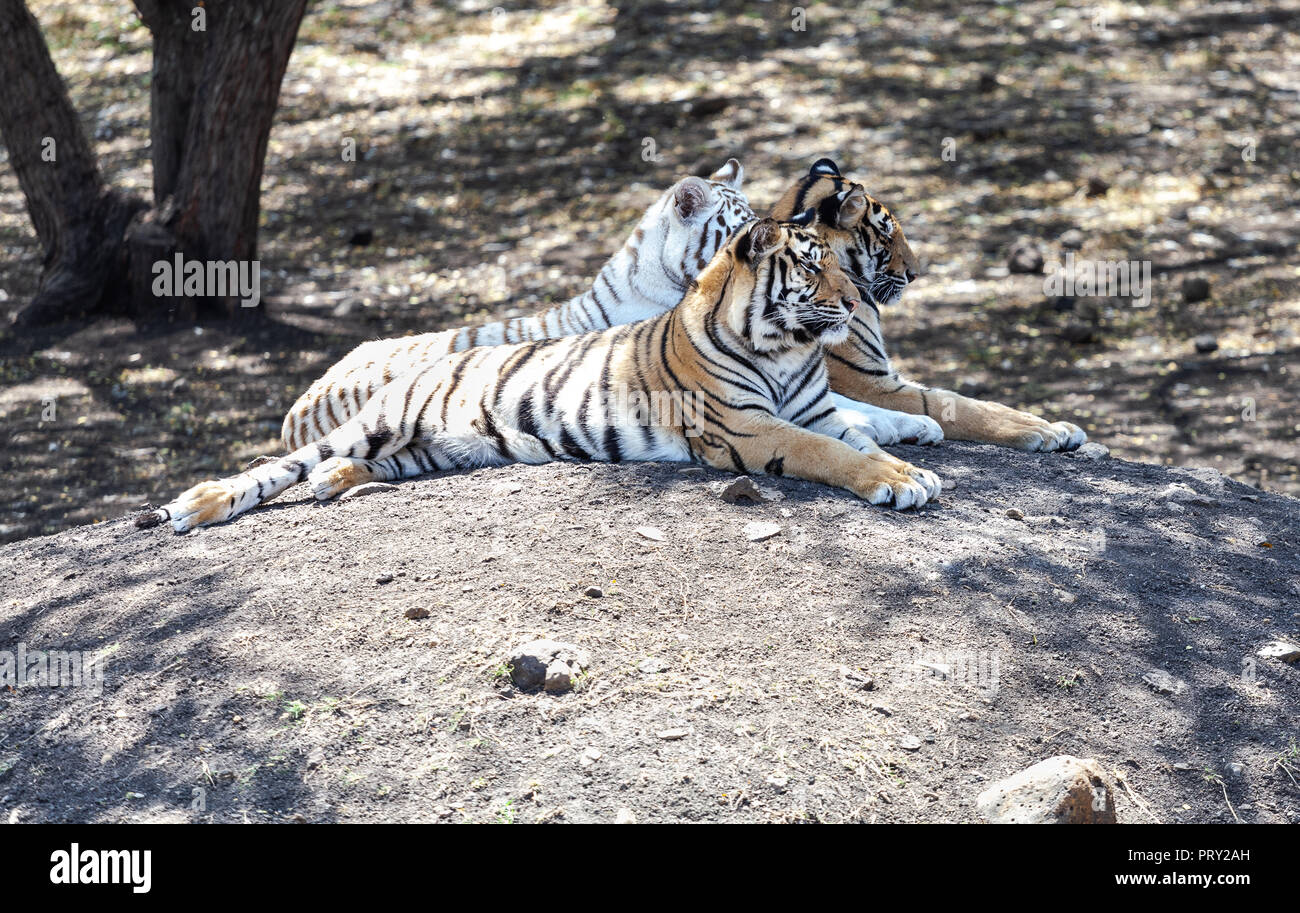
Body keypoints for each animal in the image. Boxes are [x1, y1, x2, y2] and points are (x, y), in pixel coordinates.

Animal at [147, 215, 946, 535]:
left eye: (840, 262)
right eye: (812, 266)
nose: (856, 302)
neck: (786, 346)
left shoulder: (817, 410)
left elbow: (857, 435)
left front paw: (912, 466)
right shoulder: (751, 428)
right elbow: (835, 454)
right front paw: (899, 480)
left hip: (435, 450)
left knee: (360, 466)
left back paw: (333, 482)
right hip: (377, 421)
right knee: (277, 466)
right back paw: (200, 504)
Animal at [769, 161, 1086, 457]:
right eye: (885, 234)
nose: (915, 274)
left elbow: (980, 401)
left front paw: (1055, 426)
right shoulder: (868, 382)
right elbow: (956, 405)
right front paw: (1038, 431)